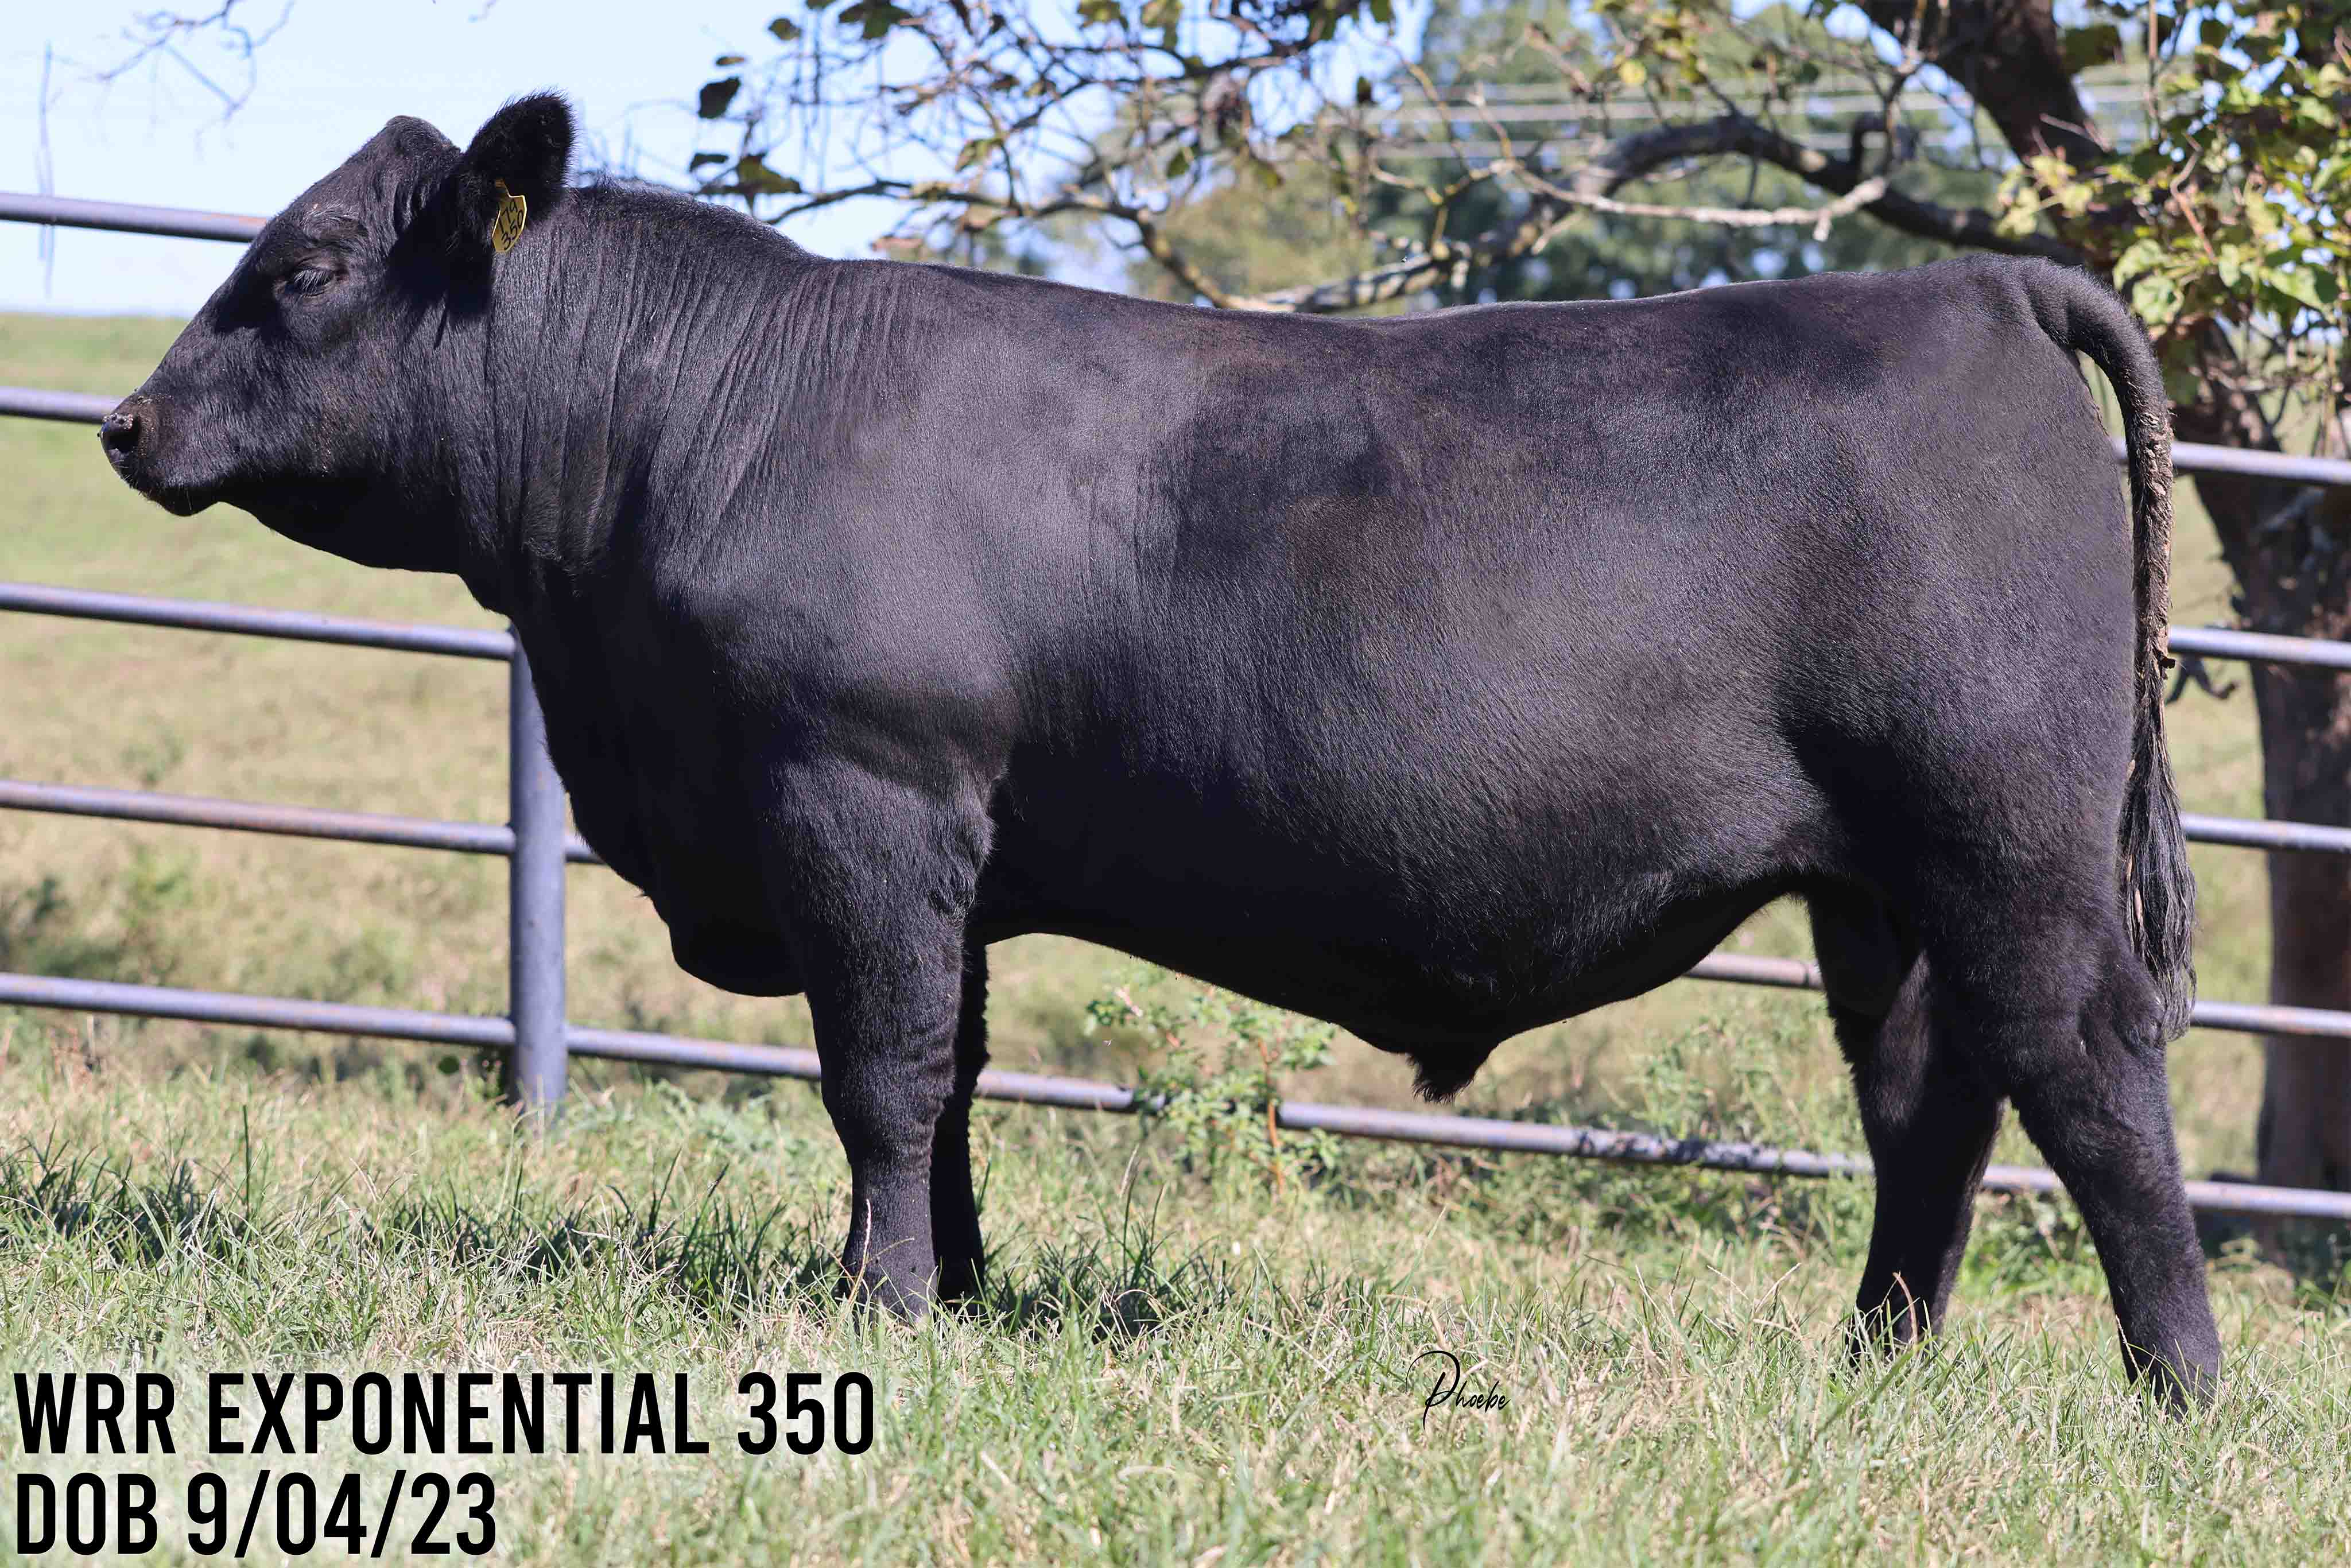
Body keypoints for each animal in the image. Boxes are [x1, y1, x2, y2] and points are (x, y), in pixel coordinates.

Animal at [100, 94, 2219, 1402]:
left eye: (301, 271)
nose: (125, 424)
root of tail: (1974, 282)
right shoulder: (938, 848)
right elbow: (949, 1080)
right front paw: (953, 1295)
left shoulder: (856, 798)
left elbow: (878, 1075)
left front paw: (874, 1312)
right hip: (1880, 886)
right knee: (1933, 1096)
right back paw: (1876, 1361)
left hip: (2005, 840)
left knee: (2088, 1070)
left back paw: (2173, 1389)